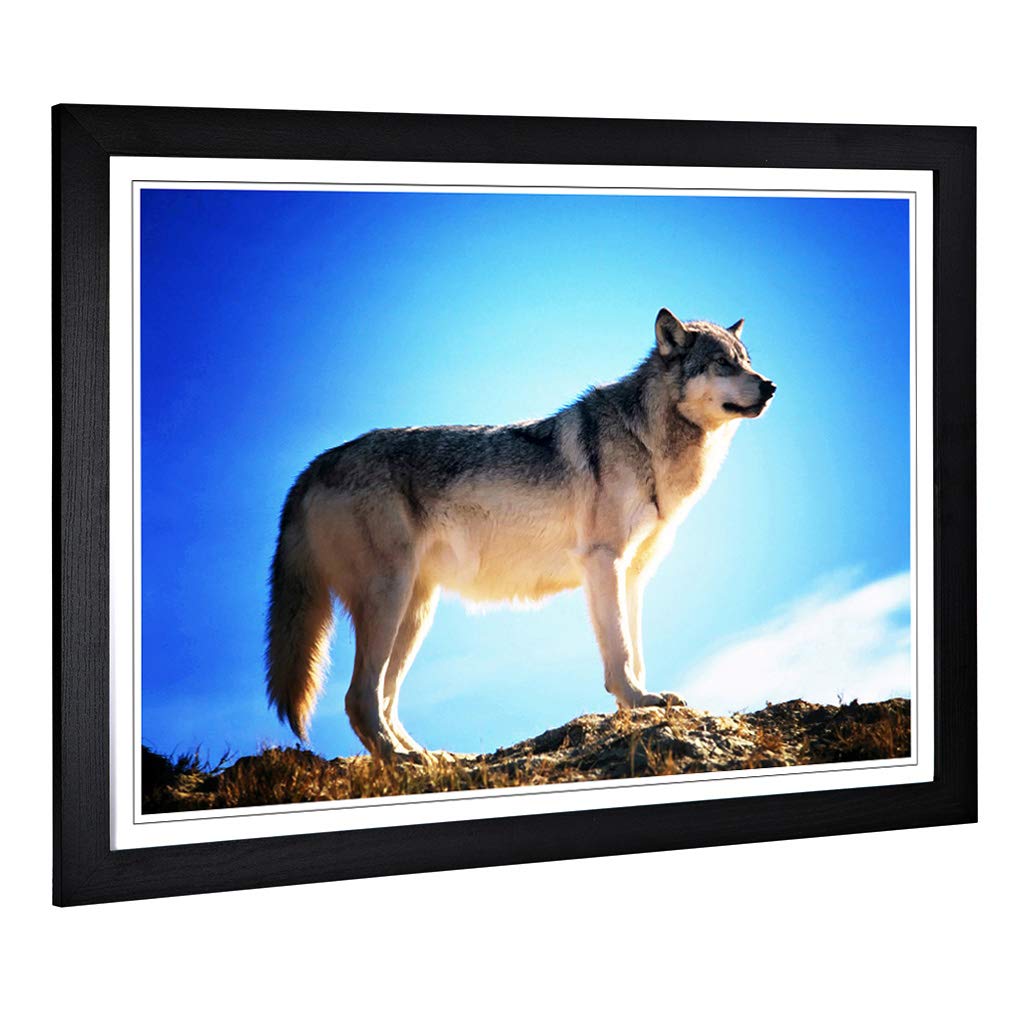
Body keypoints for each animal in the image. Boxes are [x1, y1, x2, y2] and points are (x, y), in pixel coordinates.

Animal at [265, 308, 776, 758]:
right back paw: (401, 760)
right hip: (389, 600)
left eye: (747, 360)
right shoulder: (602, 562)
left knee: (384, 700)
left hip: (415, 613)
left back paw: (431, 758)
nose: (770, 386)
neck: (646, 440)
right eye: (723, 363)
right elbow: (620, 651)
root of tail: (313, 467)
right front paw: (635, 701)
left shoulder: (632, 576)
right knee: (358, 697)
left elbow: (636, 650)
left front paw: (641, 704)